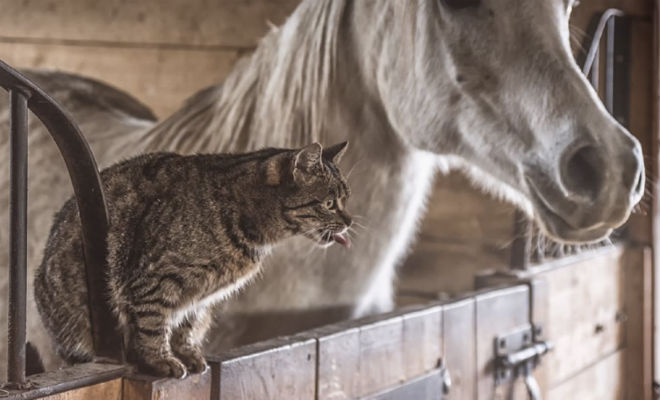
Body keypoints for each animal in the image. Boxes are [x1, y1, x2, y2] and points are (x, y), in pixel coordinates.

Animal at [33, 141, 354, 378]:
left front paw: (187, 353)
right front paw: (161, 360)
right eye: (329, 203)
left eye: (345, 200)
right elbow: (153, 325)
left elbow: (186, 325)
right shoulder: (154, 280)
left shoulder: (200, 298)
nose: (350, 220)